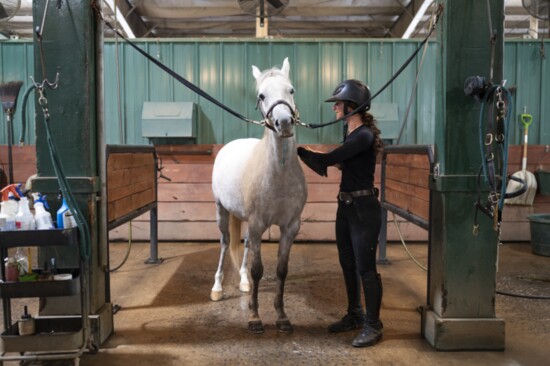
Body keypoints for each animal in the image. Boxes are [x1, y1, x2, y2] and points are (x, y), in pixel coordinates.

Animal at [210, 58, 308, 334]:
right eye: (261, 95)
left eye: (291, 90)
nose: (284, 123)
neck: (278, 174)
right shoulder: (256, 223)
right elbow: (258, 270)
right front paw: (254, 318)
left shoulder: (289, 227)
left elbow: (281, 270)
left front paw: (282, 316)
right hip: (222, 211)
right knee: (225, 243)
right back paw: (217, 287)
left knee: (244, 245)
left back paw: (242, 282)